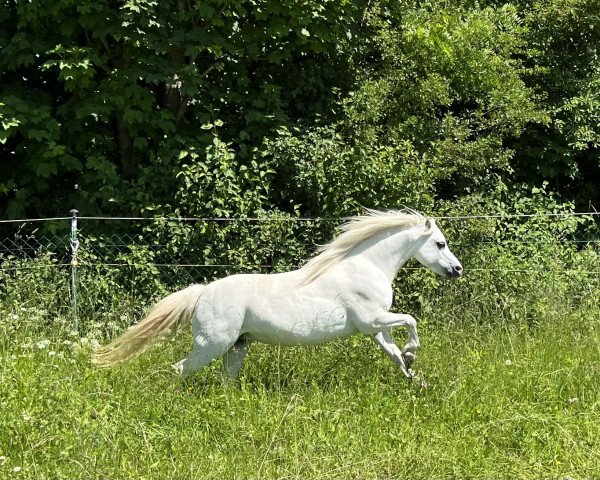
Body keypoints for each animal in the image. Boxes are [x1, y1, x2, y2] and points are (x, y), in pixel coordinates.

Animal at [94, 208, 462, 380]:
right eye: (440, 244)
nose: (457, 270)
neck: (366, 266)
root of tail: (202, 293)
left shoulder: (374, 328)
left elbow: (395, 354)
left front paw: (415, 378)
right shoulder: (372, 319)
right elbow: (411, 321)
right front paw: (414, 354)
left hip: (236, 348)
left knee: (225, 380)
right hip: (213, 344)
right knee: (180, 369)